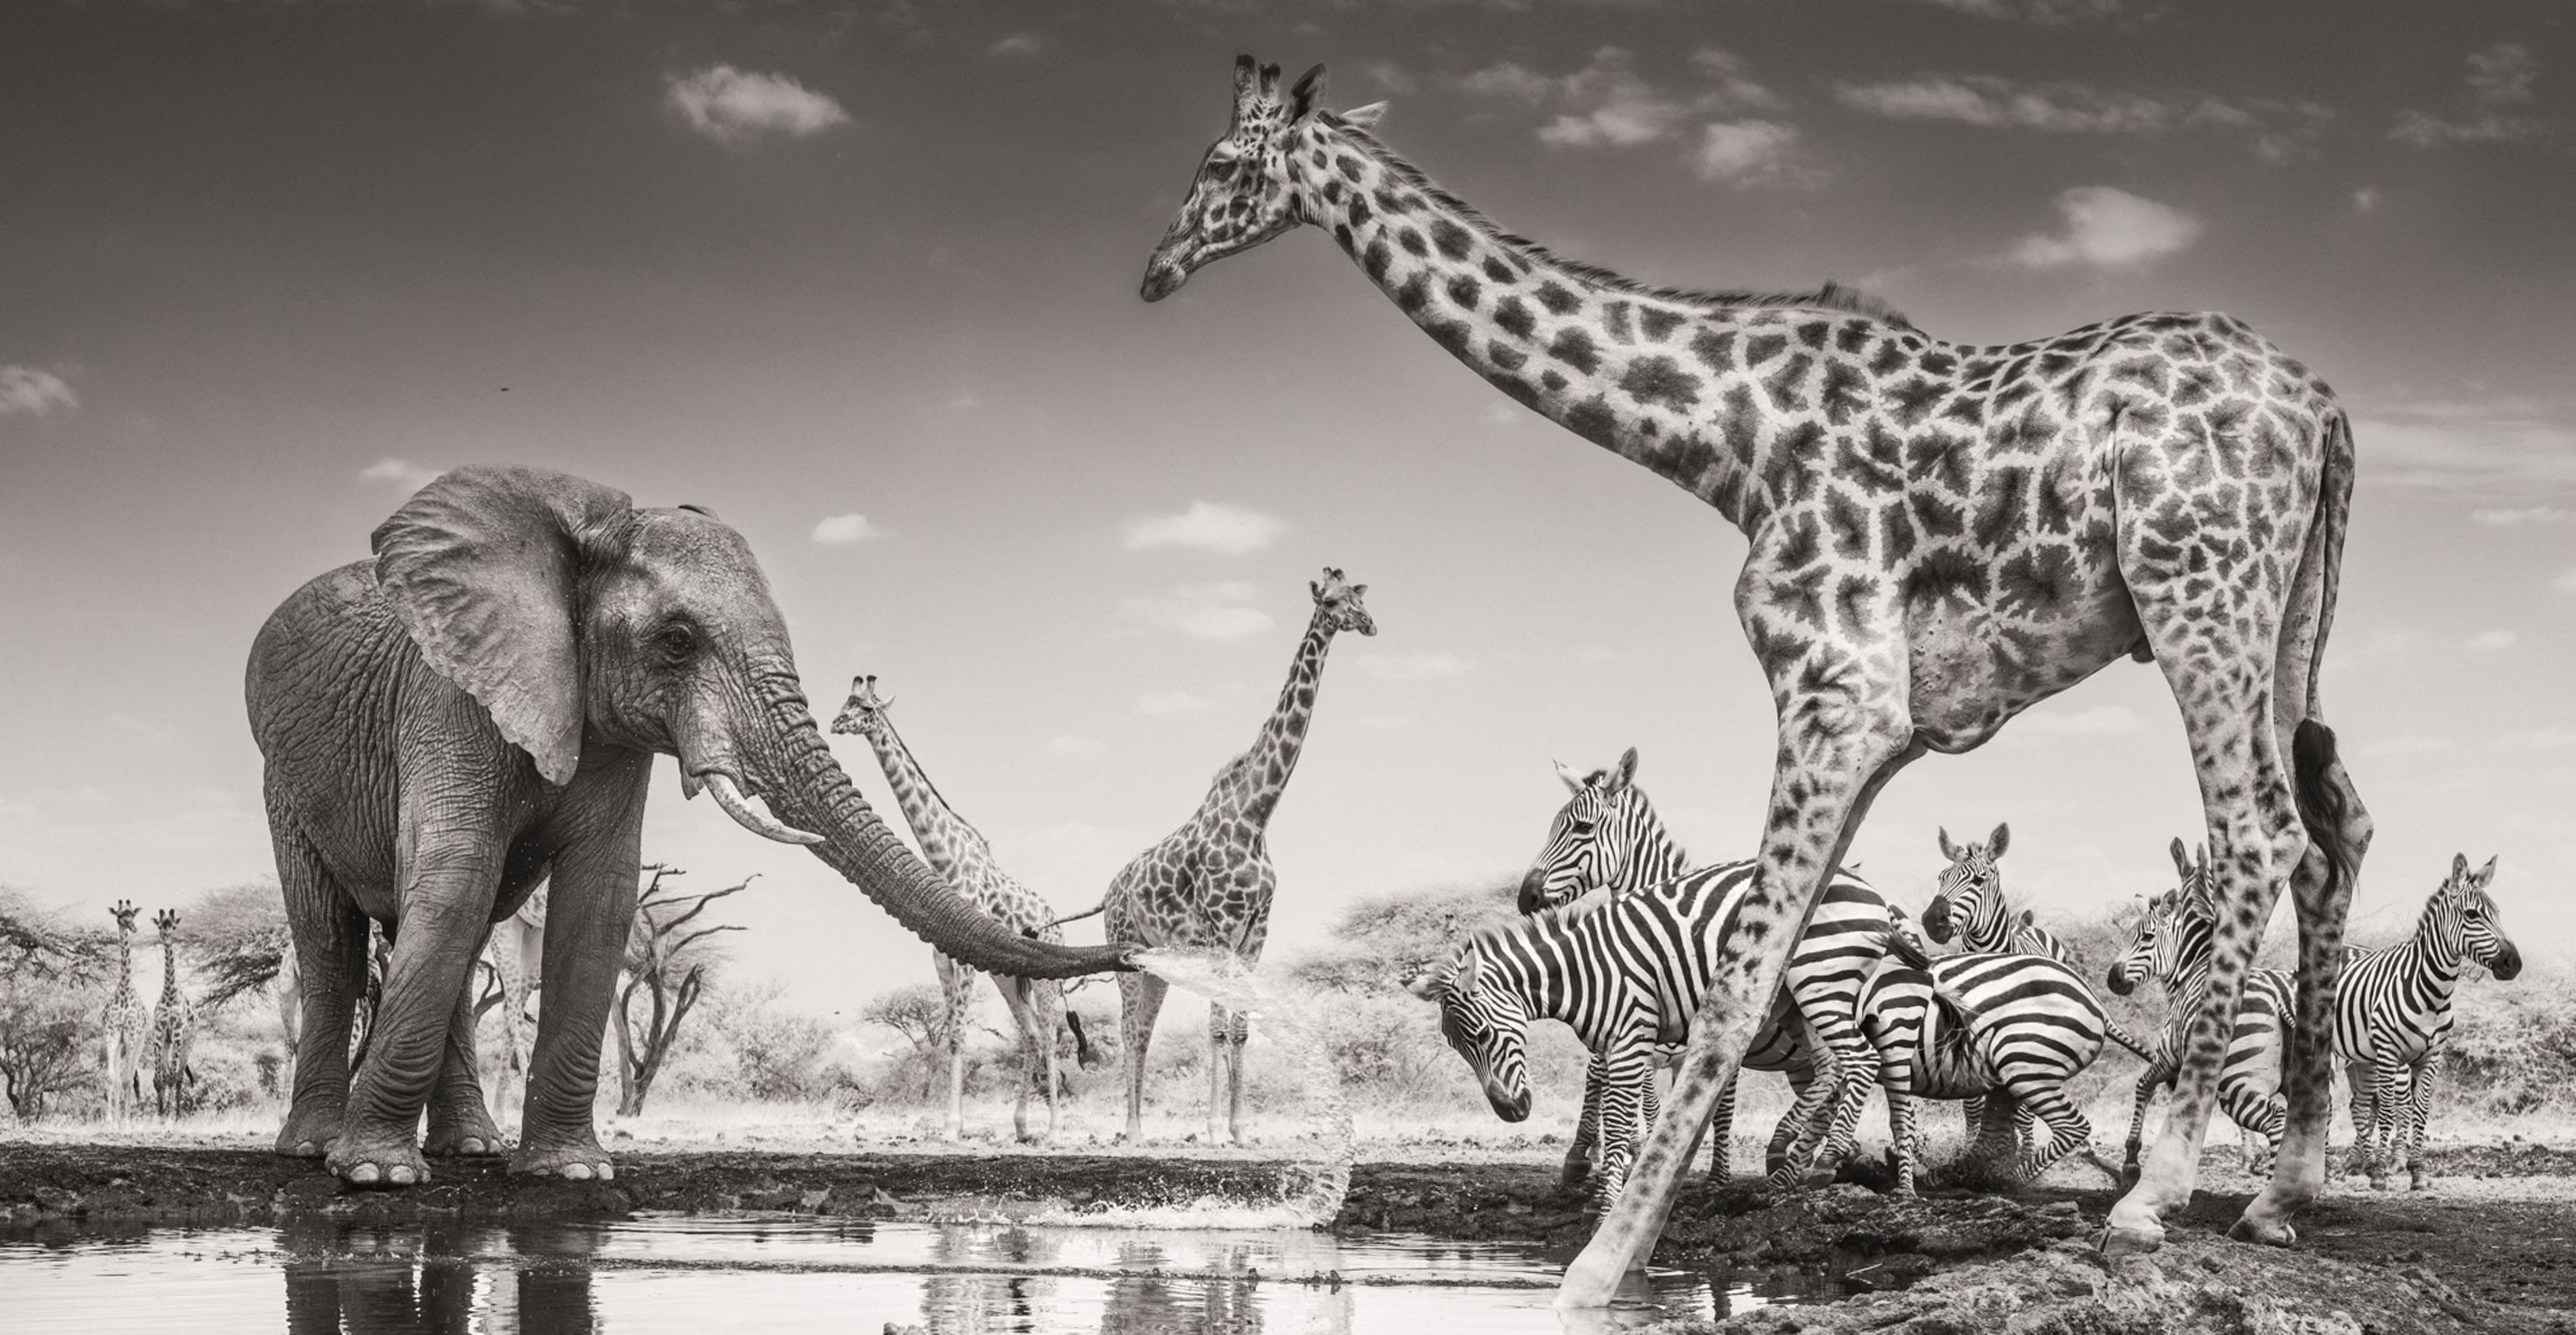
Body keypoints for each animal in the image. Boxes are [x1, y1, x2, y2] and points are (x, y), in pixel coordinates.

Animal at [247, 464, 1131, 1186]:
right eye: (676, 640)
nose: (1133, 948)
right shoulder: (446, 695)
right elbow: (458, 880)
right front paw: (375, 1176)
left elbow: (600, 901)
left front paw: (570, 1172)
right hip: (282, 777)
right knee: (337, 937)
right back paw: (317, 1149)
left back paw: (471, 1149)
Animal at [1519, 748, 1896, 1191]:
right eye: (1552, 826)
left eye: (1582, 827)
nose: (1525, 897)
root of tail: (1877, 897)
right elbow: (1610, 1075)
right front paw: (1592, 1156)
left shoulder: (1671, 1033)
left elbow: (1692, 1102)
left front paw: (1684, 1167)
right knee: (1834, 1081)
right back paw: (1807, 1160)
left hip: (1826, 989)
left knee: (1862, 1067)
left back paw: (1822, 1158)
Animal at [1856, 913, 2125, 1194]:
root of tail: (2096, 1003)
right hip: (2010, 1068)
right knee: (1995, 1134)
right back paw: (1954, 1175)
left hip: (2027, 1065)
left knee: (2069, 1126)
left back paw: (2007, 1179)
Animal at [2105, 839, 2299, 1182]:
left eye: (2146, 937)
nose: (2112, 980)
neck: (2199, 963)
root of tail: (2279, 995)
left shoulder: (2169, 1057)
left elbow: (2144, 1087)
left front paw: (2131, 1162)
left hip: (2238, 1080)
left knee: (2276, 1119)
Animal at [2334, 854, 2519, 1191]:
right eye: (2472, 914)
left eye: (2498, 913)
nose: (2515, 964)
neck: (2433, 993)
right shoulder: (2390, 1053)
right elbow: (2390, 1109)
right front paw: (2383, 1171)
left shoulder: (2431, 1056)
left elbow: (2420, 1110)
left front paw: (2417, 1171)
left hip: (2360, 1058)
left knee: (2360, 1105)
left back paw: (2358, 1164)